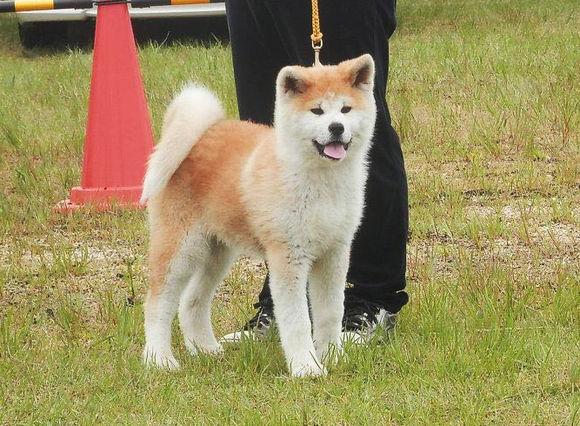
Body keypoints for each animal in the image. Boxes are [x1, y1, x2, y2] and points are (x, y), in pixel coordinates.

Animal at [140, 53, 376, 376]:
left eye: (345, 109)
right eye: (317, 111)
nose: (337, 127)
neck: (319, 181)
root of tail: (201, 134)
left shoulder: (334, 255)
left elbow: (330, 314)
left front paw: (333, 357)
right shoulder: (288, 257)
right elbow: (297, 321)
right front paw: (306, 367)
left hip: (217, 252)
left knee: (191, 301)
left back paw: (205, 349)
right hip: (180, 248)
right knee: (157, 304)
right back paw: (159, 359)